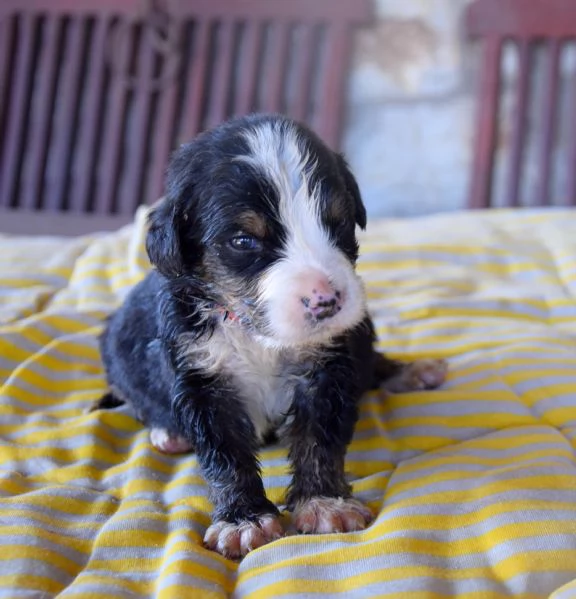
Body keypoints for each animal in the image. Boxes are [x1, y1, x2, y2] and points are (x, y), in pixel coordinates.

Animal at [99, 115, 448, 560]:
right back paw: (169, 432)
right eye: (244, 240)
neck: (256, 334)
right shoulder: (201, 376)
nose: (326, 301)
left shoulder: (328, 365)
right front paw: (243, 520)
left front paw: (325, 503)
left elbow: (320, 437)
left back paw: (413, 371)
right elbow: (225, 454)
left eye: (337, 222)